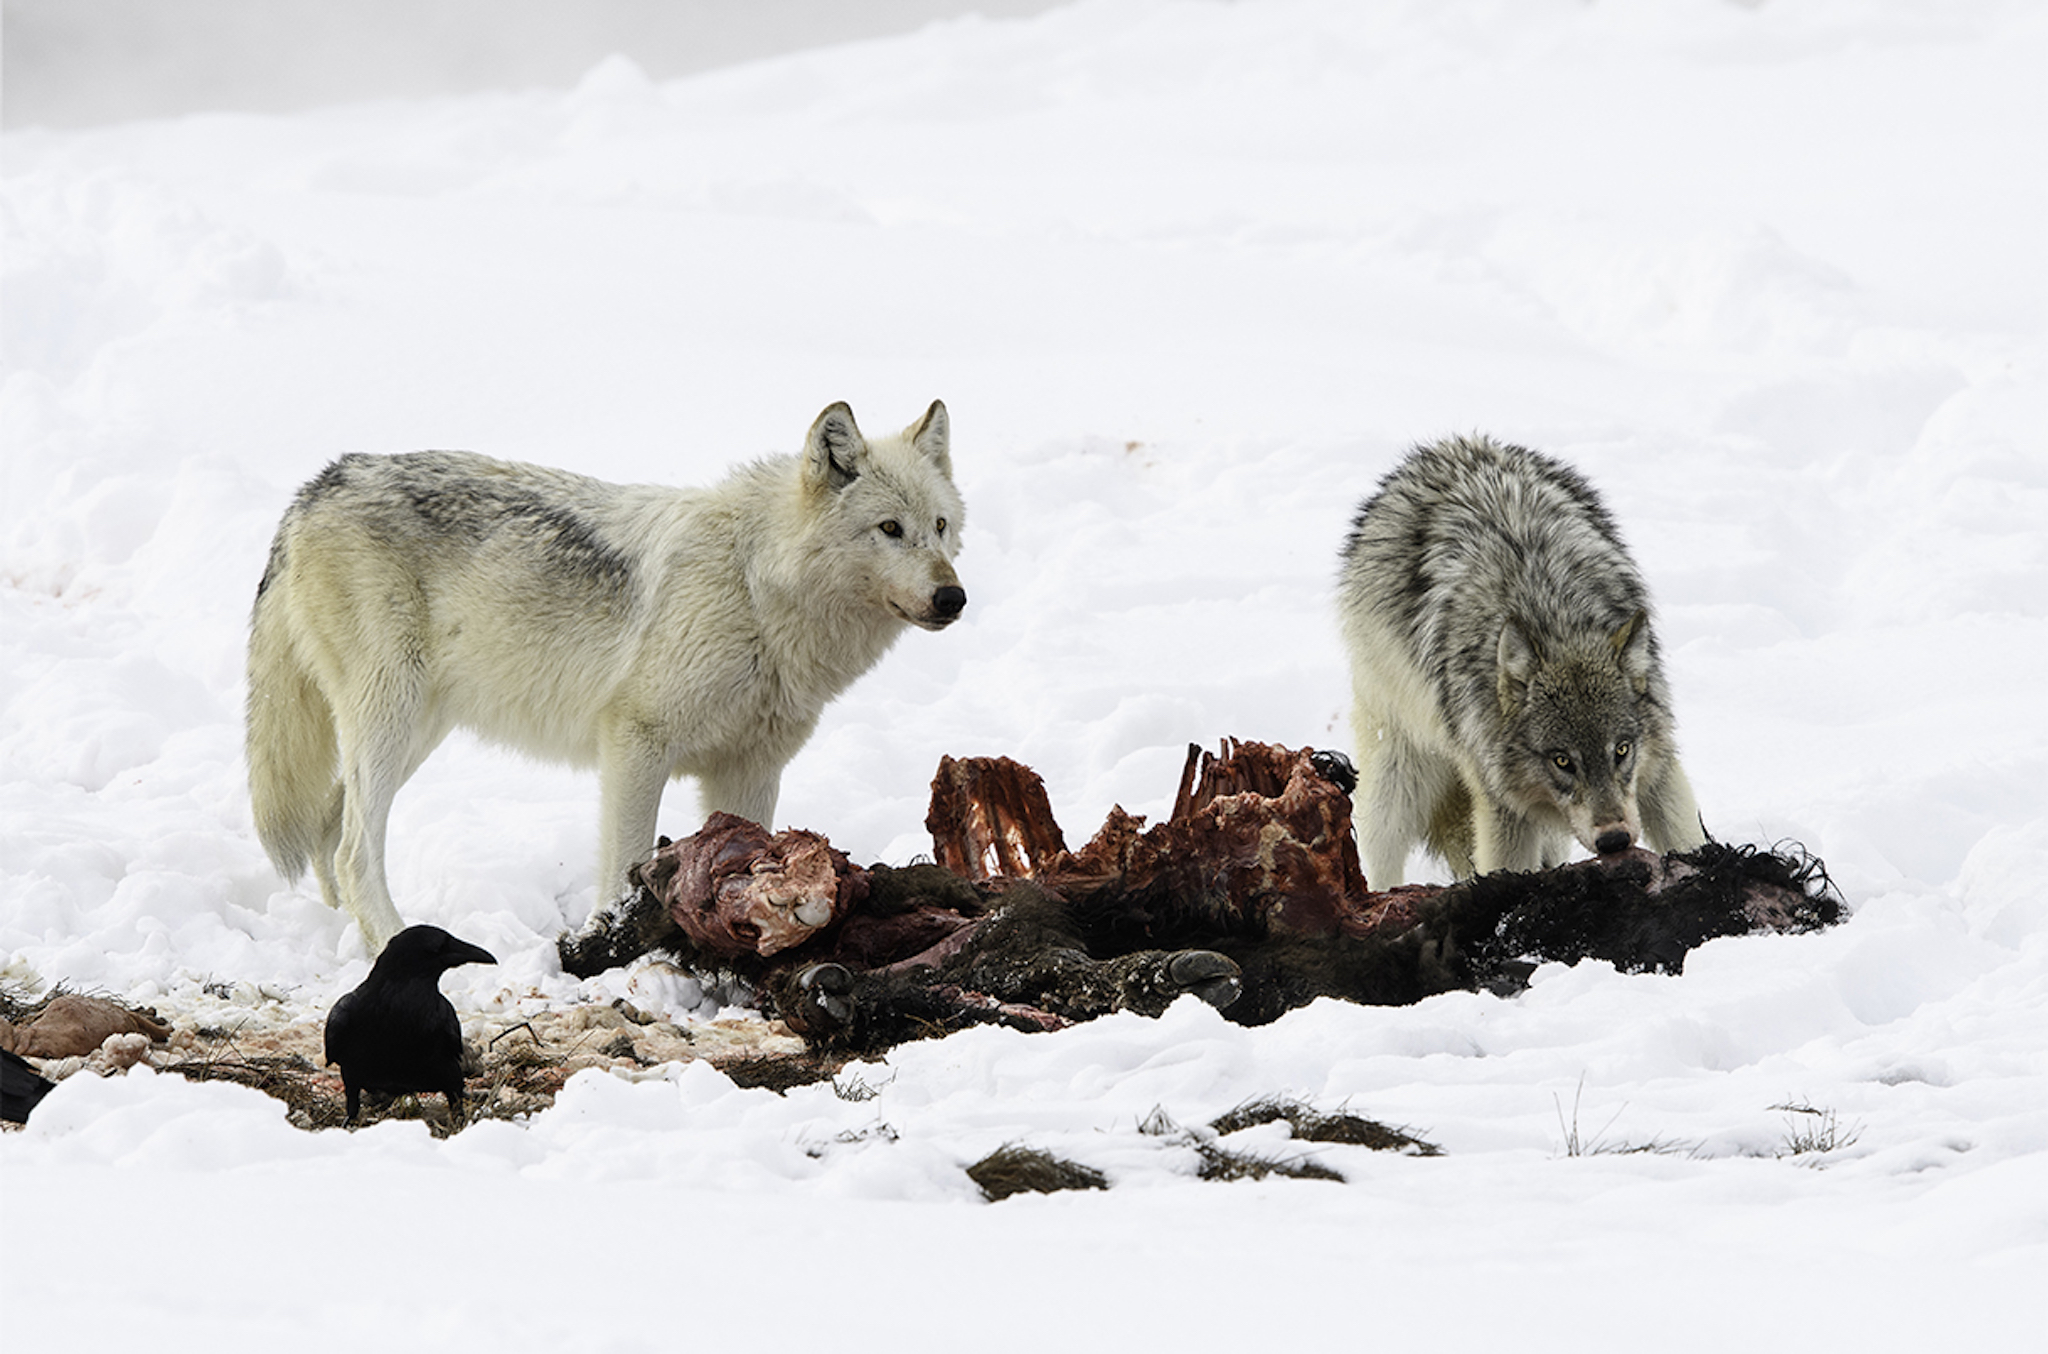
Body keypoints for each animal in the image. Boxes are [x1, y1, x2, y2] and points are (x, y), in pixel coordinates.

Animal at [247, 399, 966, 950]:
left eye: (940, 527)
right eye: (889, 528)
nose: (953, 598)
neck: (753, 586)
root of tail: (320, 483)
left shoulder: (750, 768)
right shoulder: (635, 741)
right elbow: (627, 859)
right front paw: (613, 942)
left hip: (416, 730)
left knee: (331, 830)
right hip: (393, 717)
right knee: (352, 849)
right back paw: (395, 944)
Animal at [1335, 432, 1703, 893]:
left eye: (1621, 750)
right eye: (1562, 760)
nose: (1614, 840)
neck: (1554, 615)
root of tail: (1452, 444)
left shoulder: (1658, 771)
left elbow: (1686, 838)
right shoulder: (1502, 807)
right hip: (1397, 780)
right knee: (1380, 856)